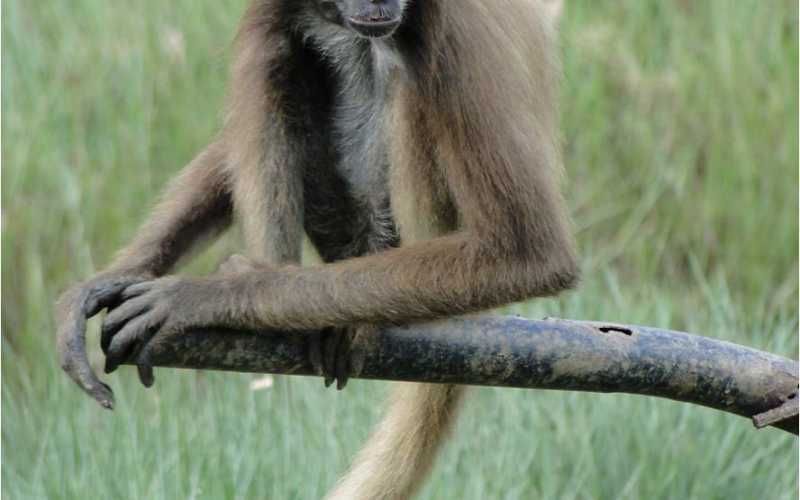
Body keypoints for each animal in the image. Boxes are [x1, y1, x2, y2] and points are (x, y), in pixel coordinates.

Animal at [56, 1, 580, 498]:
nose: (377, 3)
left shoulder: (457, 27)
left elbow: (531, 255)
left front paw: (206, 295)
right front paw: (115, 277)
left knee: (400, 65)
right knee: (275, 38)